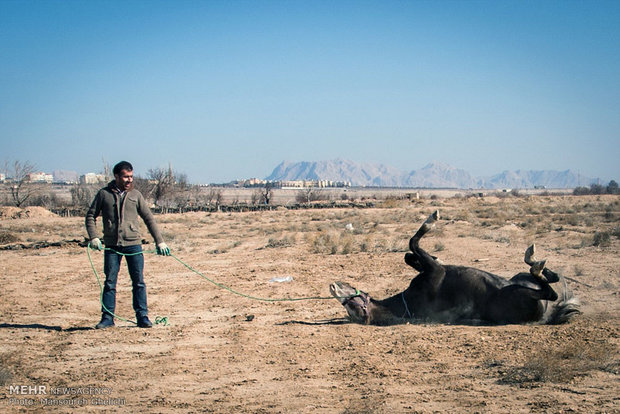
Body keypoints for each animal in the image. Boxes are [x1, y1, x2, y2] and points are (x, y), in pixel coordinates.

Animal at [332, 212, 580, 326]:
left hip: (517, 278)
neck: (407, 304)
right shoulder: (435, 272)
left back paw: (538, 264)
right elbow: (413, 242)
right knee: (549, 291)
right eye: (352, 308)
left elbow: (410, 255)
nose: (333, 286)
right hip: (520, 292)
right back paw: (537, 265)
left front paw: (433, 253)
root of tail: (544, 315)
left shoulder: (430, 268)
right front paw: (431, 219)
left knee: (544, 279)